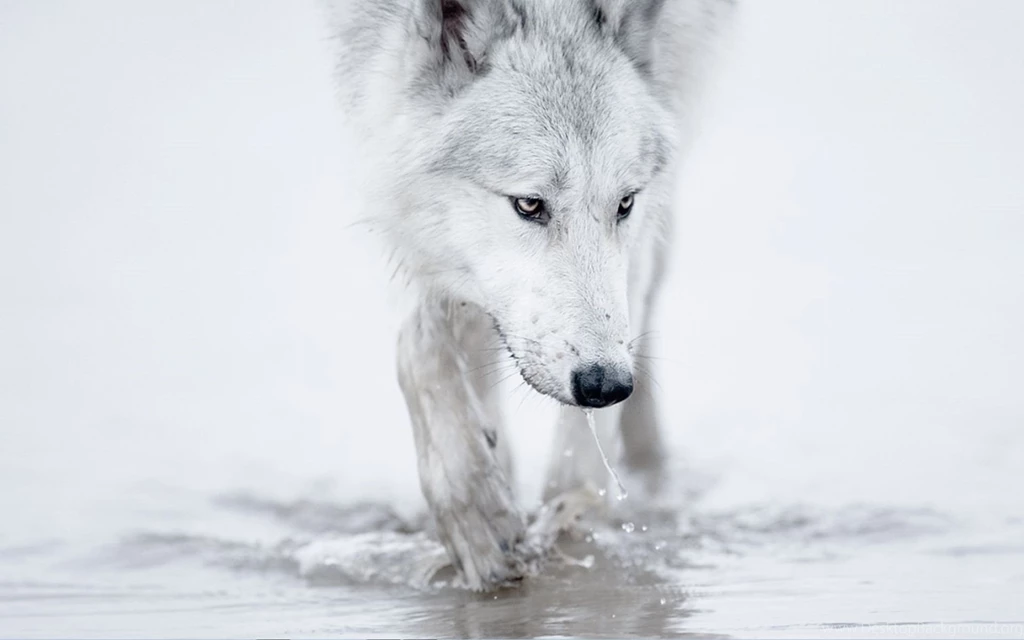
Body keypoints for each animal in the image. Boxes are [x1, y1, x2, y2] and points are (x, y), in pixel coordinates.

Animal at [327, 0, 734, 590]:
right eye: (529, 204)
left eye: (625, 203)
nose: (606, 384)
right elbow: (420, 343)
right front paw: (478, 512)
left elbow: (579, 460)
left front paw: (568, 526)